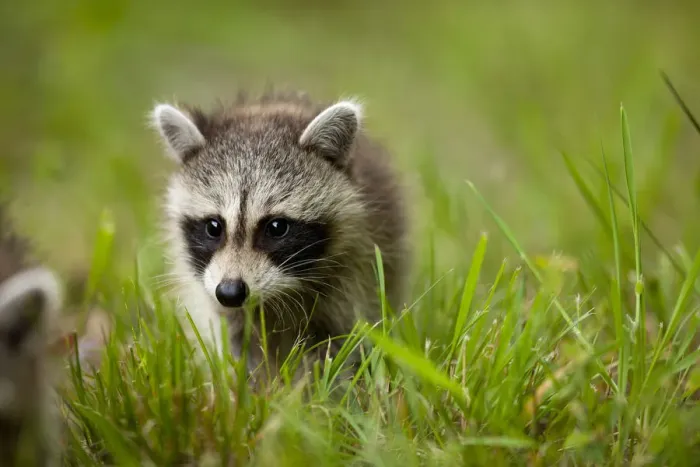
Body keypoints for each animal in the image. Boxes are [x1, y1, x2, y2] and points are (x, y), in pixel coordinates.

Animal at [150, 90, 409, 381]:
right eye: (214, 227)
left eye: (276, 227)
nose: (230, 293)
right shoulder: (216, 297)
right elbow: (237, 344)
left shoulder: (354, 276)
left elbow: (336, 345)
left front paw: (317, 389)